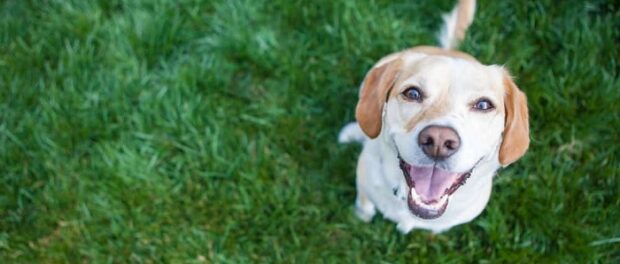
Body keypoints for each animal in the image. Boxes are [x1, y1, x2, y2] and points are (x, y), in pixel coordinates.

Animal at [336, 0, 532, 233]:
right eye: (412, 93)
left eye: (483, 105)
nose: (439, 141)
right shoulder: (364, 183)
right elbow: (364, 203)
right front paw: (362, 216)